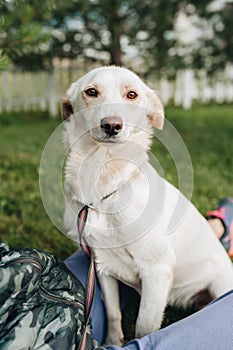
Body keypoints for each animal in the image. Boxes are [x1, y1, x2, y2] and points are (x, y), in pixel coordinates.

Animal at [61, 67, 233, 346]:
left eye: (132, 94)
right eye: (91, 92)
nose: (112, 125)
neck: (106, 182)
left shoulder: (157, 271)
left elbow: (144, 327)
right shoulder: (102, 267)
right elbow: (113, 313)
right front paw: (112, 342)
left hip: (219, 285)